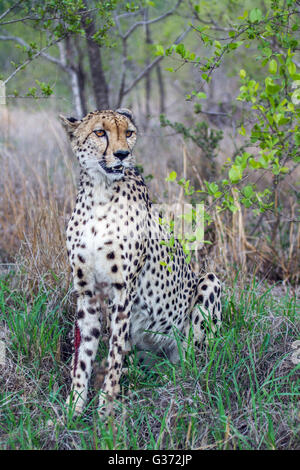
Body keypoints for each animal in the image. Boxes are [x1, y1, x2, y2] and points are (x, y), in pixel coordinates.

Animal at [59, 109, 223, 414]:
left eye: (129, 133)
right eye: (100, 132)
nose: (122, 154)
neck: (100, 192)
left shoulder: (124, 292)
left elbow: (113, 353)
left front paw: (105, 410)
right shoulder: (87, 292)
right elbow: (83, 355)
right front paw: (73, 408)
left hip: (208, 284)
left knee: (194, 364)